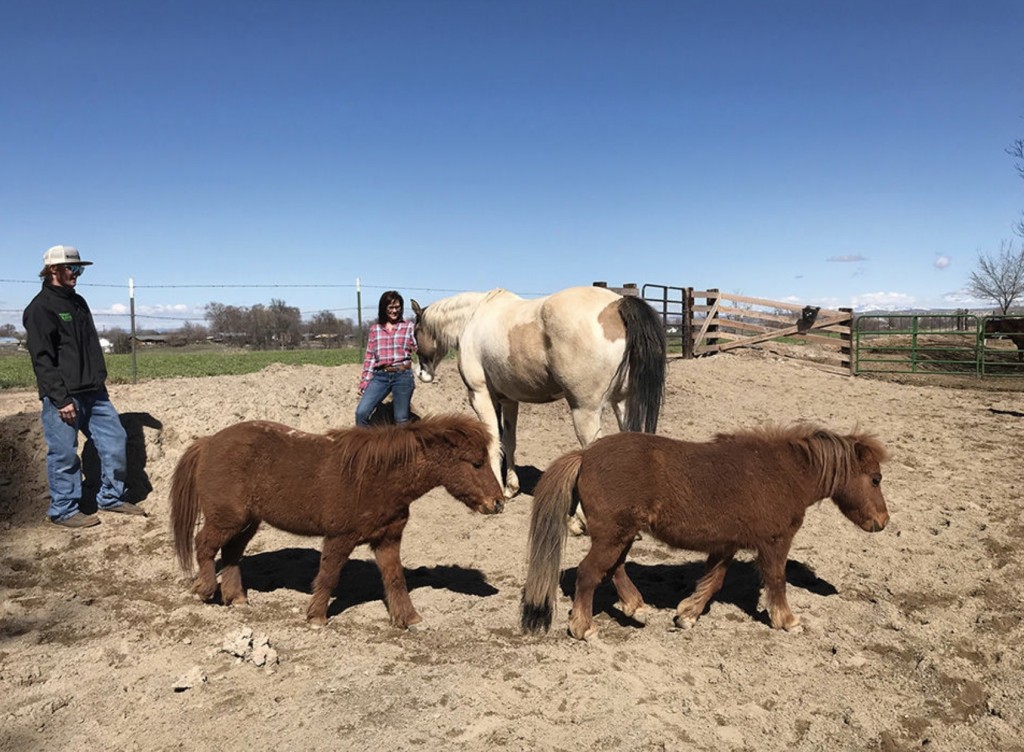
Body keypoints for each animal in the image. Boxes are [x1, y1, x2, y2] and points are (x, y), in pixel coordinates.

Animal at [171, 418, 503, 631]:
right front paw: (317, 618)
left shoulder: (388, 539)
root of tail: (208, 442)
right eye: (476, 463)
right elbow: (329, 576)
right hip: (227, 519)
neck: (377, 478)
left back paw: (237, 598)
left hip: (246, 523)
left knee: (231, 554)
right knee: (204, 546)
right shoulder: (340, 537)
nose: (498, 503)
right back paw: (205, 590)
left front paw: (409, 619)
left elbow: (395, 580)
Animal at [411, 284, 667, 510]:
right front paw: (510, 488)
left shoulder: (479, 395)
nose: (421, 373)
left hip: (585, 411)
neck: (472, 318)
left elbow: (492, 439)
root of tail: (617, 304)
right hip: (622, 402)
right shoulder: (508, 400)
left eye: (415, 332)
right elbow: (508, 441)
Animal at [520, 424, 888, 643]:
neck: (783, 474)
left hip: (621, 535)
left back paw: (636, 609)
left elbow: (713, 581)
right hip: (614, 535)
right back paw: (584, 627)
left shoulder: (725, 545)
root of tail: (585, 455)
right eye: (875, 479)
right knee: (589, 573)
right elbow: (777, 580)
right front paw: (788, 620)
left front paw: (687, 615)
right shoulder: (774, 542)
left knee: (613, 569)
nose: (882, 522)